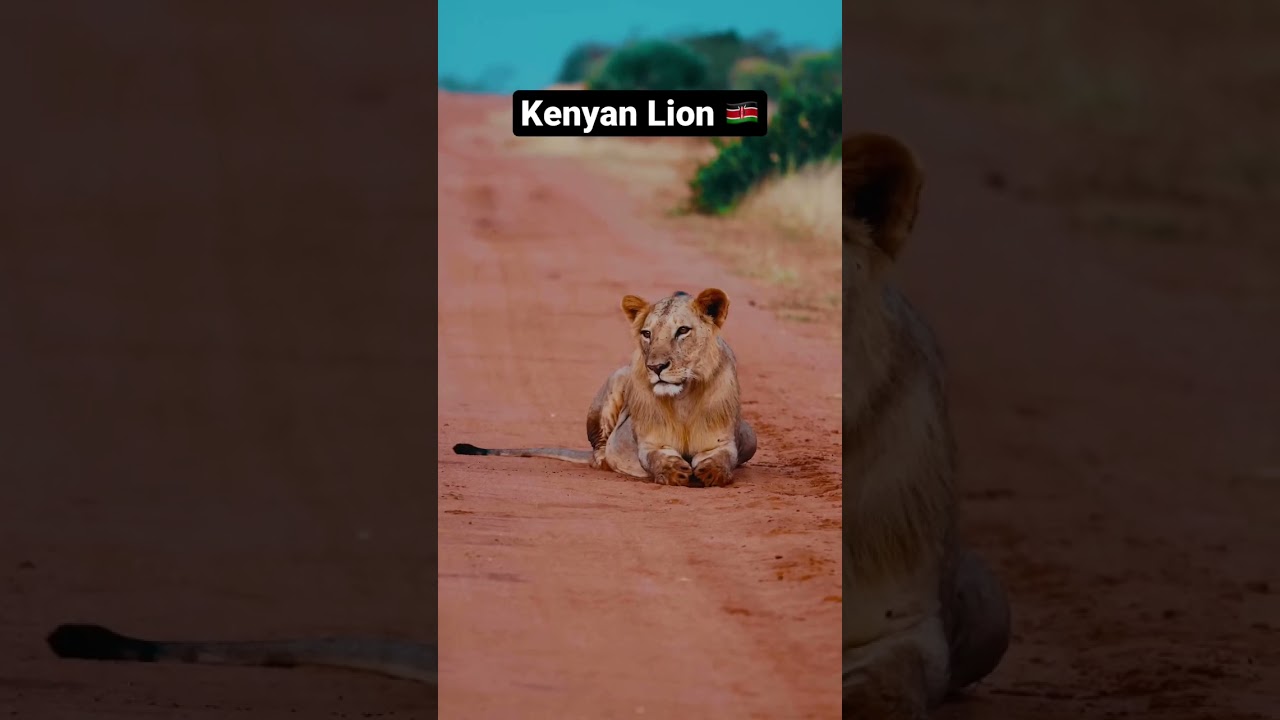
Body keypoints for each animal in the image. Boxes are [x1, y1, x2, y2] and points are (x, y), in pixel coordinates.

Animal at [452, 288, 757, 487]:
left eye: (682, 330)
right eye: (647, 334)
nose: (656, 367)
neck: (682, 397)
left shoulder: (721, 442)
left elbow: (721, 460)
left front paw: (713, 473)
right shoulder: (650, 442)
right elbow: (659, 457)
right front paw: (673, 472)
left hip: (751, 436)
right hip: (618, 380)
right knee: (599, 451)